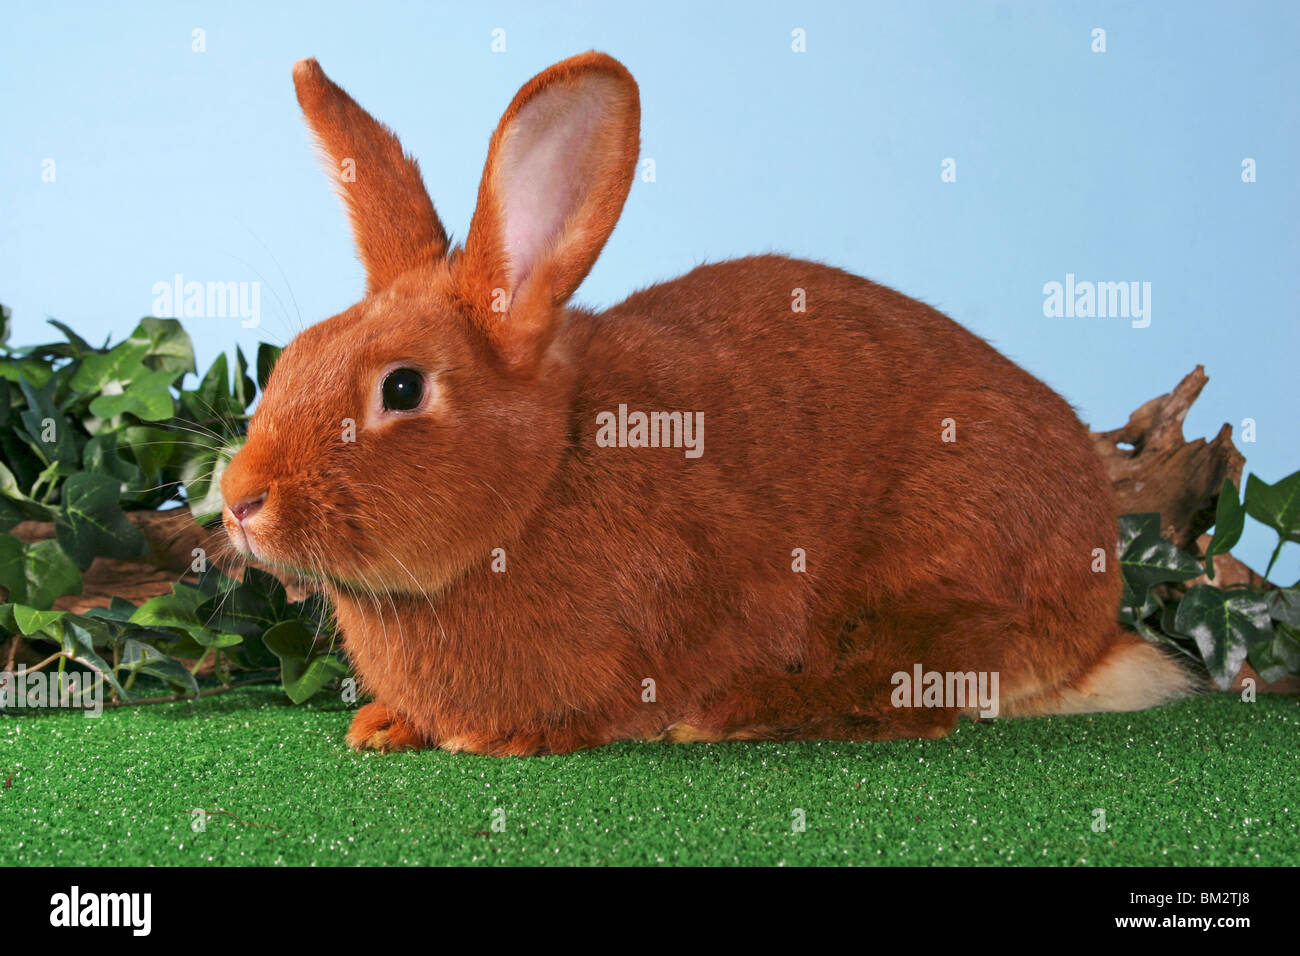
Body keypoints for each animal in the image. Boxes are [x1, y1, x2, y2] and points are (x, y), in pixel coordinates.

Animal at [220, 51, 1196, 755]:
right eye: (293, 356)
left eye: (403, 387)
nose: (238, 502)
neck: (543, 481)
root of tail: (1095, 628)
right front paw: (383, 727)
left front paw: (509, 740)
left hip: (947, 562)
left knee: (908, 696)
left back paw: (732, 714)